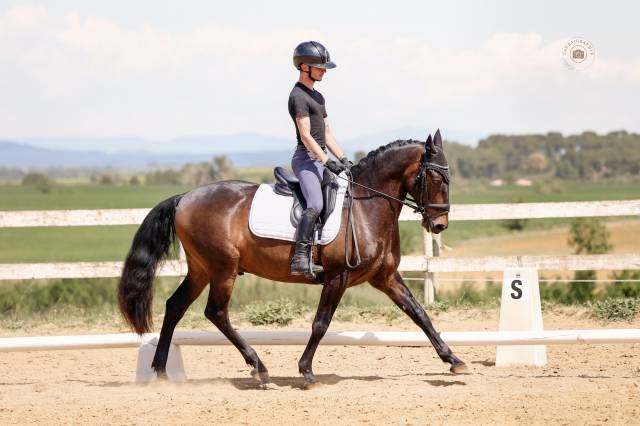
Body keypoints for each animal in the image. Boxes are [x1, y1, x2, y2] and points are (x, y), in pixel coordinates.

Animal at [117, 129, 468, 389]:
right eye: (437, 179)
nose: (439, 225)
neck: (367, 205)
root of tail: (184, 198)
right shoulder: (338, 277)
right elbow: (321, 323)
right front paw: (306, 371)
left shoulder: (385, 277)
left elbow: (419, 314)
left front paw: (453, 360)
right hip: (222, 269)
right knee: (216, 313)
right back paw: (259, 367)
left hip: (202, 269)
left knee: (175, 307)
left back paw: (161, 371)